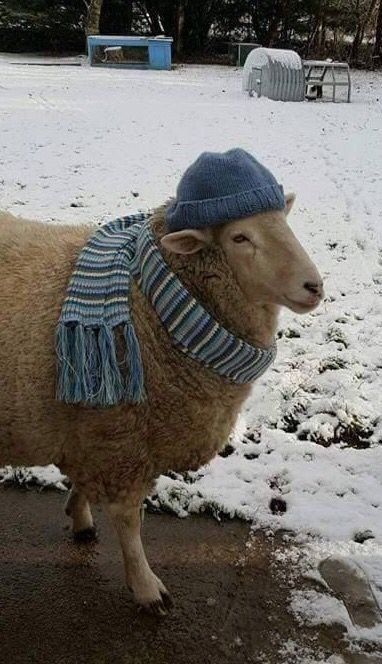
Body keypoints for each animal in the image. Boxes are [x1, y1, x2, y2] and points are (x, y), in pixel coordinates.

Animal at [0, 197, 322, 616]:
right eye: (239, 237)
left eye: (284, 221)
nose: (314, 286)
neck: (149, 300)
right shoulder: (121, 437)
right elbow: (128, 521)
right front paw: (146, 586)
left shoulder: (95, 432)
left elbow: (85, 483)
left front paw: (79, 515)